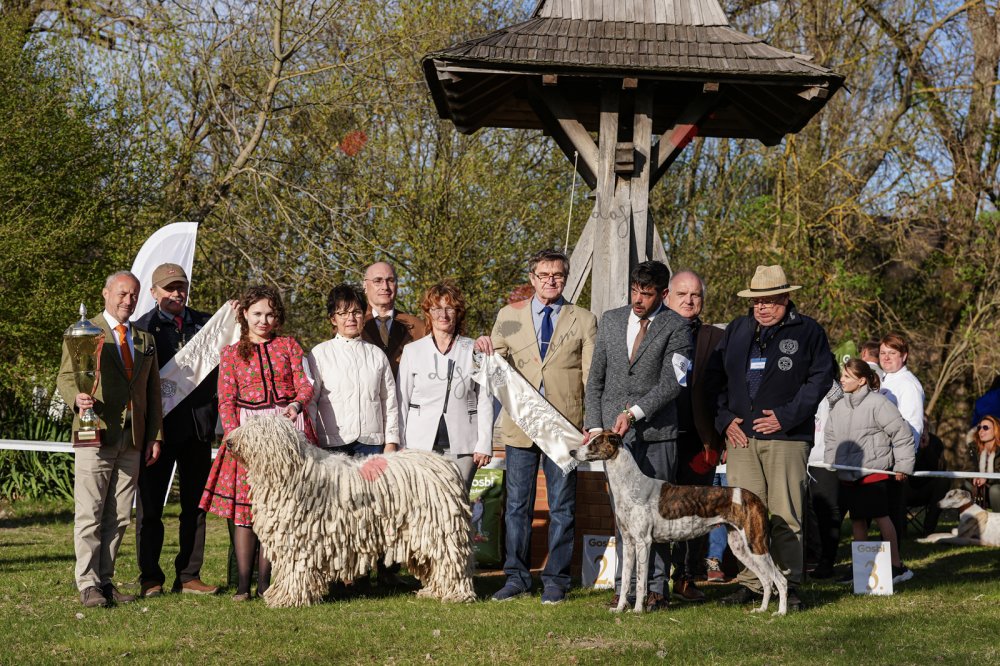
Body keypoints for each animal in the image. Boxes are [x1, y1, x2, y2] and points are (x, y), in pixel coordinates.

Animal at [225, 415, 476, 607]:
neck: (293, 472)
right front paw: (281, 596)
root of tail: (446, 465)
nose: (228, 441)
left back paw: (457, 594)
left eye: (255, 430)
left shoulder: (299, 540)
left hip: (440, 529)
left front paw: (287, 599)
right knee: (434, 564)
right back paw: (434, 591)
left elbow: (296, 568)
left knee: (451, 560)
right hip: (420, 535)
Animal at [571, 431, 787, 615]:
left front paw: (638, 610)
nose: (572, 452)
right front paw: (619, 608)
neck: (631, 485)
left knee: (780, 580)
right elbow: (625, 582)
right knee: (767, 580)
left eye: (595, 443)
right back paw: (761, 609)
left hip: (755, 544)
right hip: (741, 548)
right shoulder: (629, 543)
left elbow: (640, 582)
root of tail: (755, 499)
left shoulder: (643, 543)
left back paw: (781, 613)